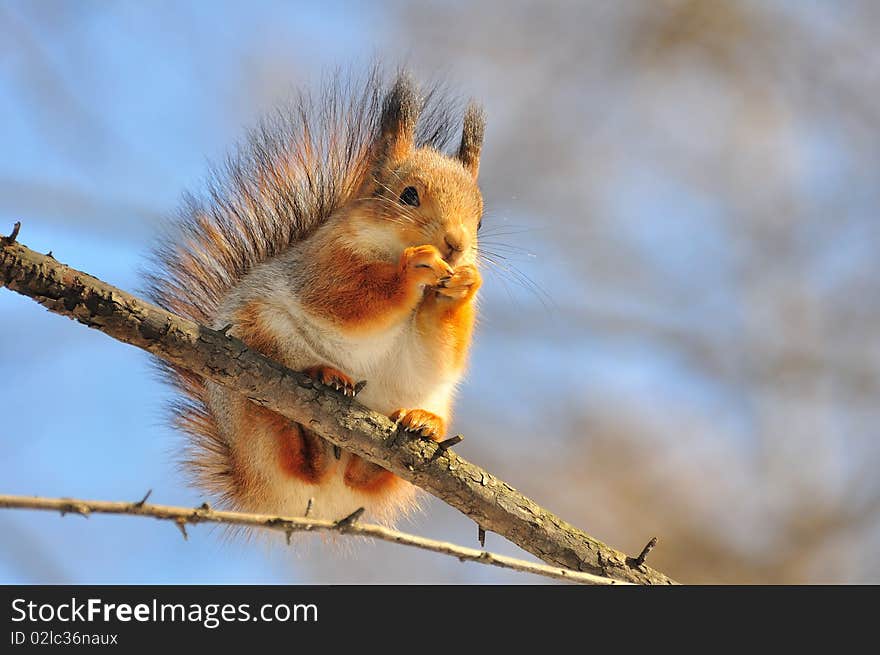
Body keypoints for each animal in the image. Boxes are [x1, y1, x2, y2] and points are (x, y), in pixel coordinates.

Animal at [147, 70, 484, 528]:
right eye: (408, 195)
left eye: (480, 218)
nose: (455, 244)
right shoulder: (323, 265)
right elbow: (347, 301)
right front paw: (412, 268)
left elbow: (442, 350)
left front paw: (464, 284)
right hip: (257, 344)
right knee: (290, 452)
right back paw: (314, 395)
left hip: (427, 402)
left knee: (364, 476)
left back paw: (419, 423)